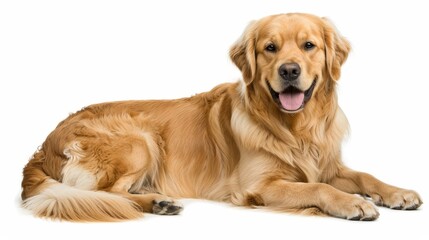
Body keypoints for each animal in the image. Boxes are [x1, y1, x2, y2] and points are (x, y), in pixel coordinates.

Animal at [21, 13, 420, 221]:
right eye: (270, 48)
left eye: (309, 46)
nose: (290, 70)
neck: (296, 129)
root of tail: (42, 147)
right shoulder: (260, 186)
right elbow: (317, 188)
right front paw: (353, 203)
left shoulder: (328, 163)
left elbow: (364, 175)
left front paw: (397, 193)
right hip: (138, 140)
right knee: (109, 194)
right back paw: (157, 203)